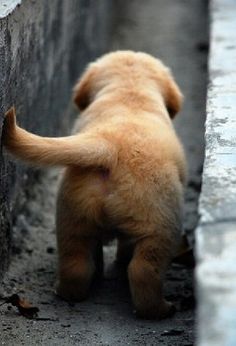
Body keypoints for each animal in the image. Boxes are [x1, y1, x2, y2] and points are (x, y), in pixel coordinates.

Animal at [2, 50, 186, 318]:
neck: (129, 91)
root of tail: (109, 145)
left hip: (72, 216)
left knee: (77, 264)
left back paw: (68, 291)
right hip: (161, 225)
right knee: (142, 270)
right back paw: (160, 309)